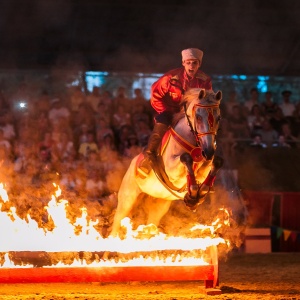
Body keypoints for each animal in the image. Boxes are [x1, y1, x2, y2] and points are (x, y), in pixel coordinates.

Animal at [110, 88, 223, 238]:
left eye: (218, 118)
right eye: (198, 117)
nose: (209, 151)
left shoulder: (205, 165)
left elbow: (216, 163)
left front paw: (197, 196)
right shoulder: (170, 169)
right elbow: (186, 158)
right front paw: (192, 194)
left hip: (159, 206)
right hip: (127, 199)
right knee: (116, 224)